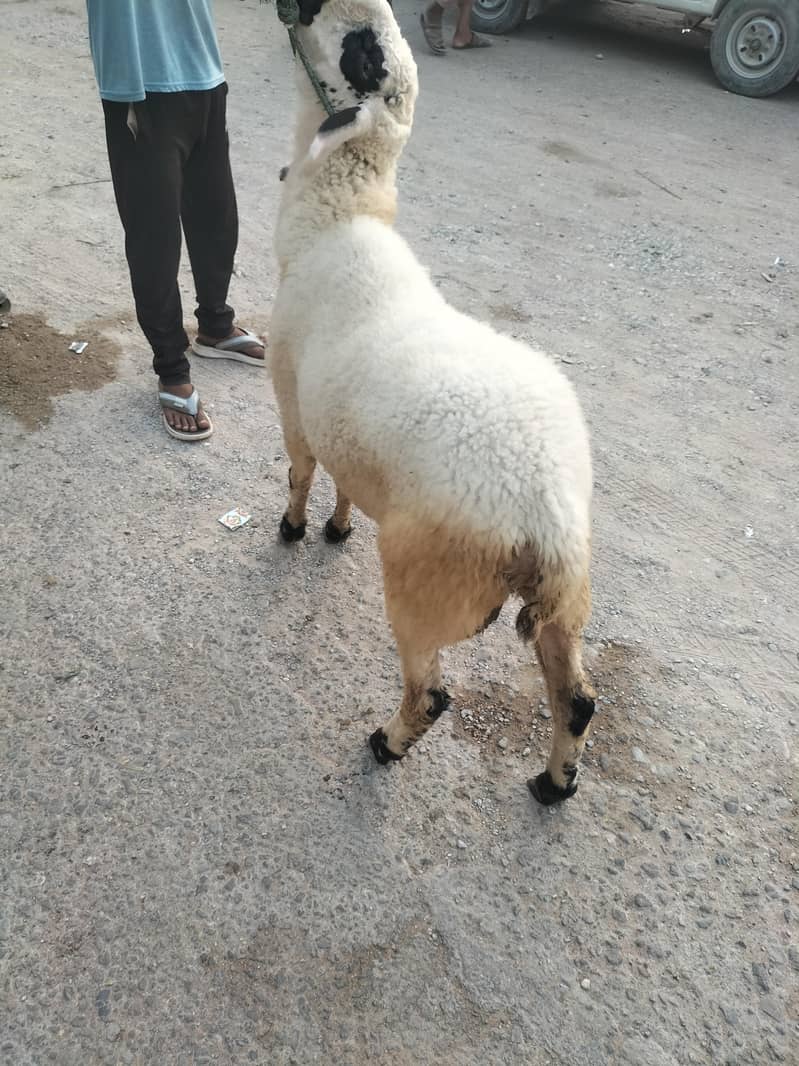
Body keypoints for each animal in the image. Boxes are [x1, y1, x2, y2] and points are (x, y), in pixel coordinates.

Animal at [269, 0, 598, 805]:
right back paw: (552, 785)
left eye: (364, 54)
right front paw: (336, 528)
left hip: (430, 586)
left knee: (432, 692)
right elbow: (345, 480)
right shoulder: (344, 426)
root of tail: (546, 518)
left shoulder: (290, 394)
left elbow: (300, 471)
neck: (335, 222)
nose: (297, 7)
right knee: (575, 698)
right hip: (567, 602)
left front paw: (295, 530)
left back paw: (385, 744)